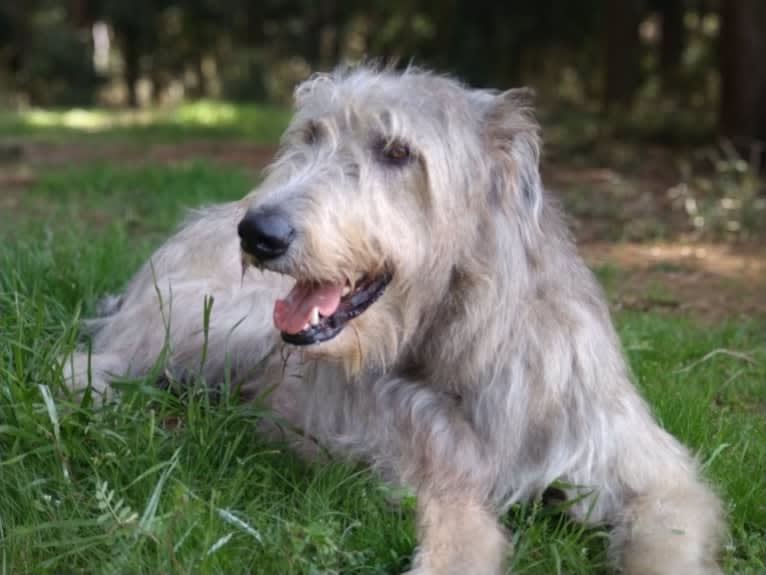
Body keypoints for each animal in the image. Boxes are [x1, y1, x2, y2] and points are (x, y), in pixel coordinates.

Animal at [66, 65, 728, 572]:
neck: (467, 348)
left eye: (397, 152)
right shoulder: (431, 473)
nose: (256, 233)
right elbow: (460, 541)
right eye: (311, 136)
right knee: (88, 358)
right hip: (219, 325)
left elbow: (665, 531)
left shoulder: (650, 470)